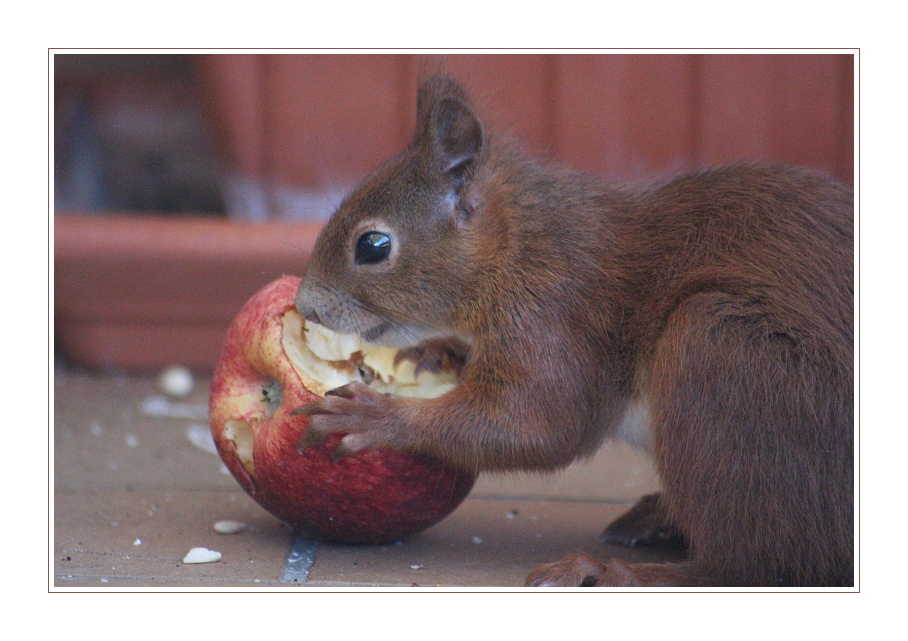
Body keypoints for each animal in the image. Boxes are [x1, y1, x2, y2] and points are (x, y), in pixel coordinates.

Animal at [294, 71, 856, 584]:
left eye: (373, 246)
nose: (306, 306)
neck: (516, 248)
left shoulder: (554, 311)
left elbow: (540, 423)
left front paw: (378, 417)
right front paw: (436, 353)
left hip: (724, 353)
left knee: (747, 566)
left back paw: (614, 572)